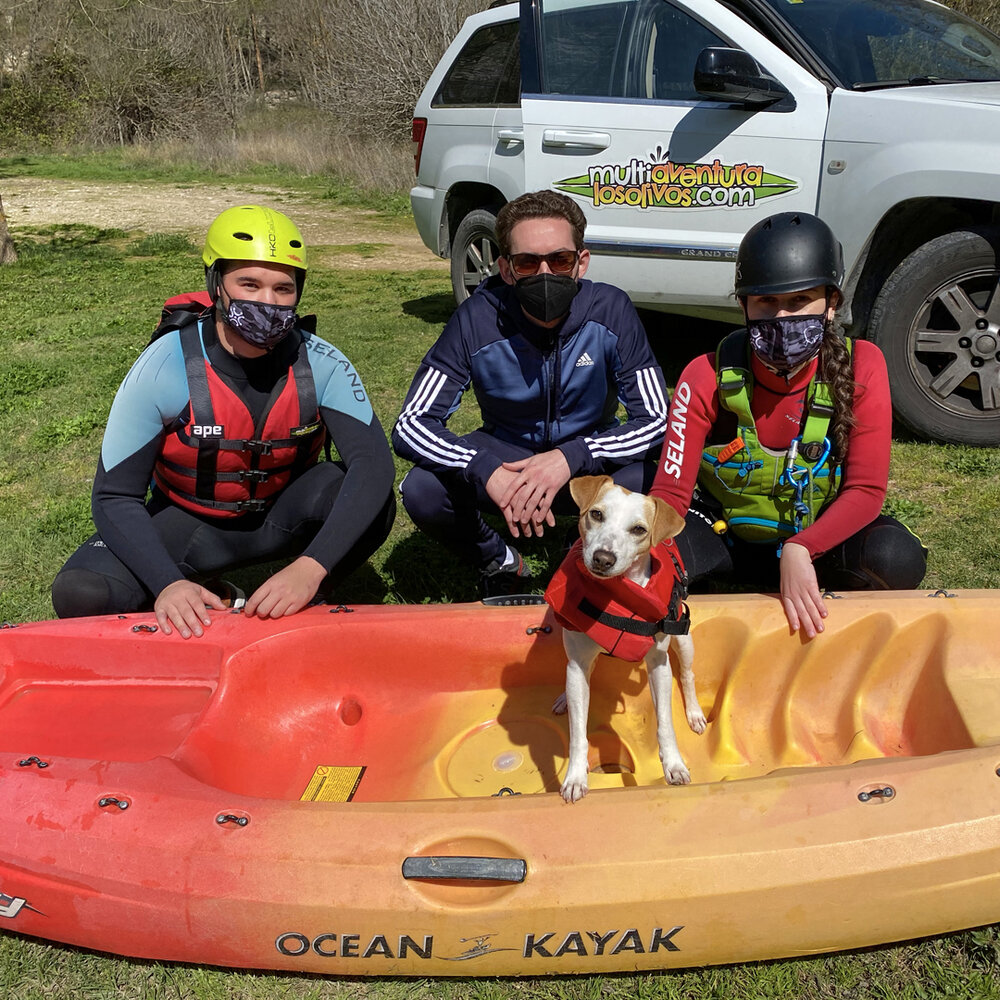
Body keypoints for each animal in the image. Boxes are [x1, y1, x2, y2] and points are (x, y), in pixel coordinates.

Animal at [548, 476, 704, 804]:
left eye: (639, 530)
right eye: (596, 514)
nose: (603, 558)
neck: (617, 595)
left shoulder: (659, 664)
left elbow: (665, 722)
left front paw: (674, 765)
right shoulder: (578, 664)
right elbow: (578, 733)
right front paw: (575, 777)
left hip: (683, 638)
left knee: (687, 674)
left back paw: (695, 713)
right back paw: (564, 698)